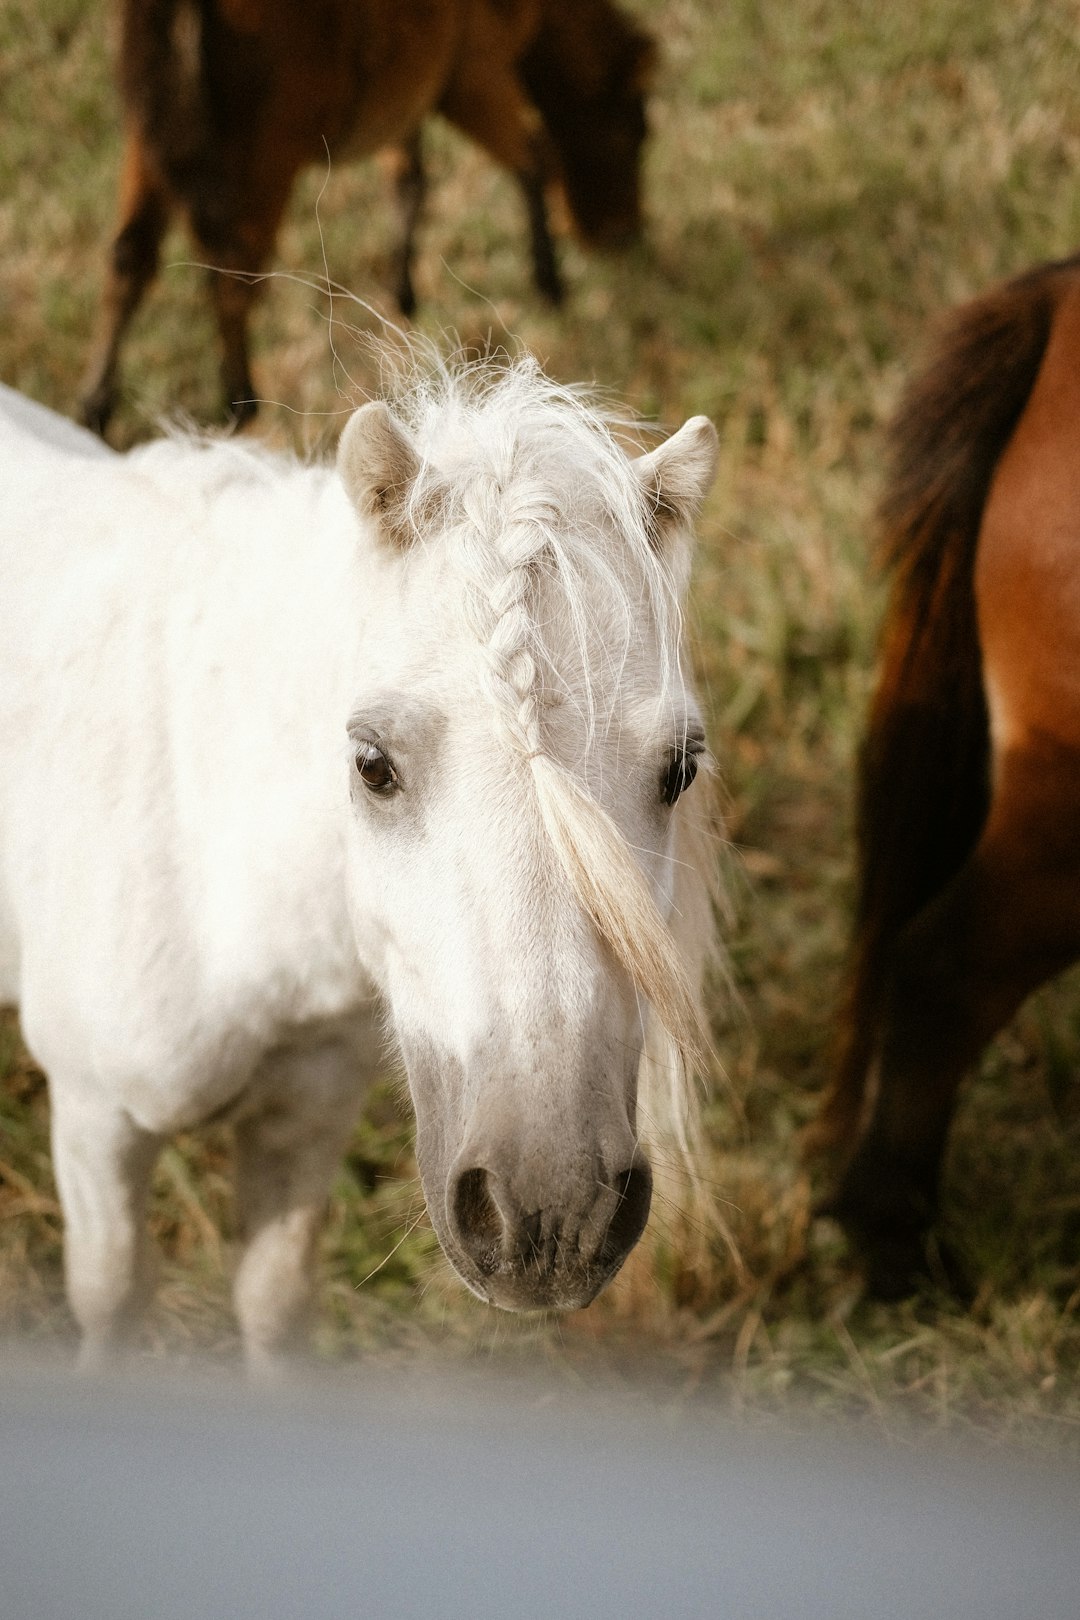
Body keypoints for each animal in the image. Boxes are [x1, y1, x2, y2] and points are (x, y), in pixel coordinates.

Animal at [2, 358, 725, 1367]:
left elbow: (274, 1300)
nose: (553, 1213)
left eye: (680, 769)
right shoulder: (95, 1125)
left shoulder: (308, 1109)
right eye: (373, 765)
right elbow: (110, 1304)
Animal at [80, 0, 654, 437]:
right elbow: (534, 160)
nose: (625, 234)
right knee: (232, 276)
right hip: (267, 159)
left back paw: (95, 405)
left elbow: (410, 182)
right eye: (636, 123)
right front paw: (549, 280)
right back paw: (239, 399)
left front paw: (403, 292)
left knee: (130, 258)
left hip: (148, 144)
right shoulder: (474, 73)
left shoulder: (412, 96)